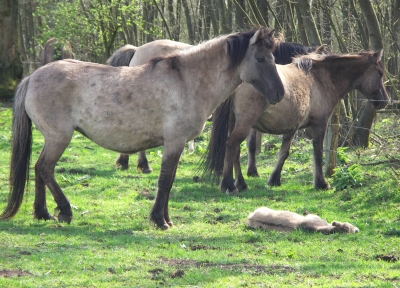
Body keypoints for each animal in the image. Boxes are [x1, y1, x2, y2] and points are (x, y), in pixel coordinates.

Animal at [1, 27, 286, 230]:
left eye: (273, 58)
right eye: (261, 58)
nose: (280, 94)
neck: (187, 81)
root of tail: (32, 77)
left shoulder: (176, 145)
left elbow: (168, 181)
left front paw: (166, 219)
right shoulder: (174, 142)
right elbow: (165, 180)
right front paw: (159, 220)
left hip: (52, 139)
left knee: (38, 169)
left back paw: (43, 213)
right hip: (59, 138)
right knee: (44, 168)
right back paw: (64, 211)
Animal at [202, 49, 390, 194]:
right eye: (380, 73)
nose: (384, 101)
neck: (321, 78)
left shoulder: (292, 126)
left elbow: (284, 152)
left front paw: (274, 179)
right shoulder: (320, 124)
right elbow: (317, 152)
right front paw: (321, 183)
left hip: (235, 122)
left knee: (235, 150)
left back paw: (240, 183)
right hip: (245, 123)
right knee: (232, 145)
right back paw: (229, 185)